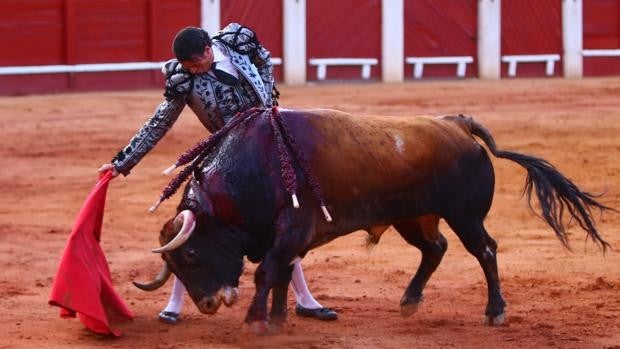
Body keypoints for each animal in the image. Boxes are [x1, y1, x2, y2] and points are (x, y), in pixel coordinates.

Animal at [134, 108, 612, 332]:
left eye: (191, 256)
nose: (208, 304)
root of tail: (457, 124)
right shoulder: (289, 237)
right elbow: (281, 273)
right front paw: (279, 320)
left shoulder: (289, 230)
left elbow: (269, 271)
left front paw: (256, 321)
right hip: (415, 217)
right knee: (435, 249)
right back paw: (410, 300)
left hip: (464, 216)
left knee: (485, 251)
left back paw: (495, 312)